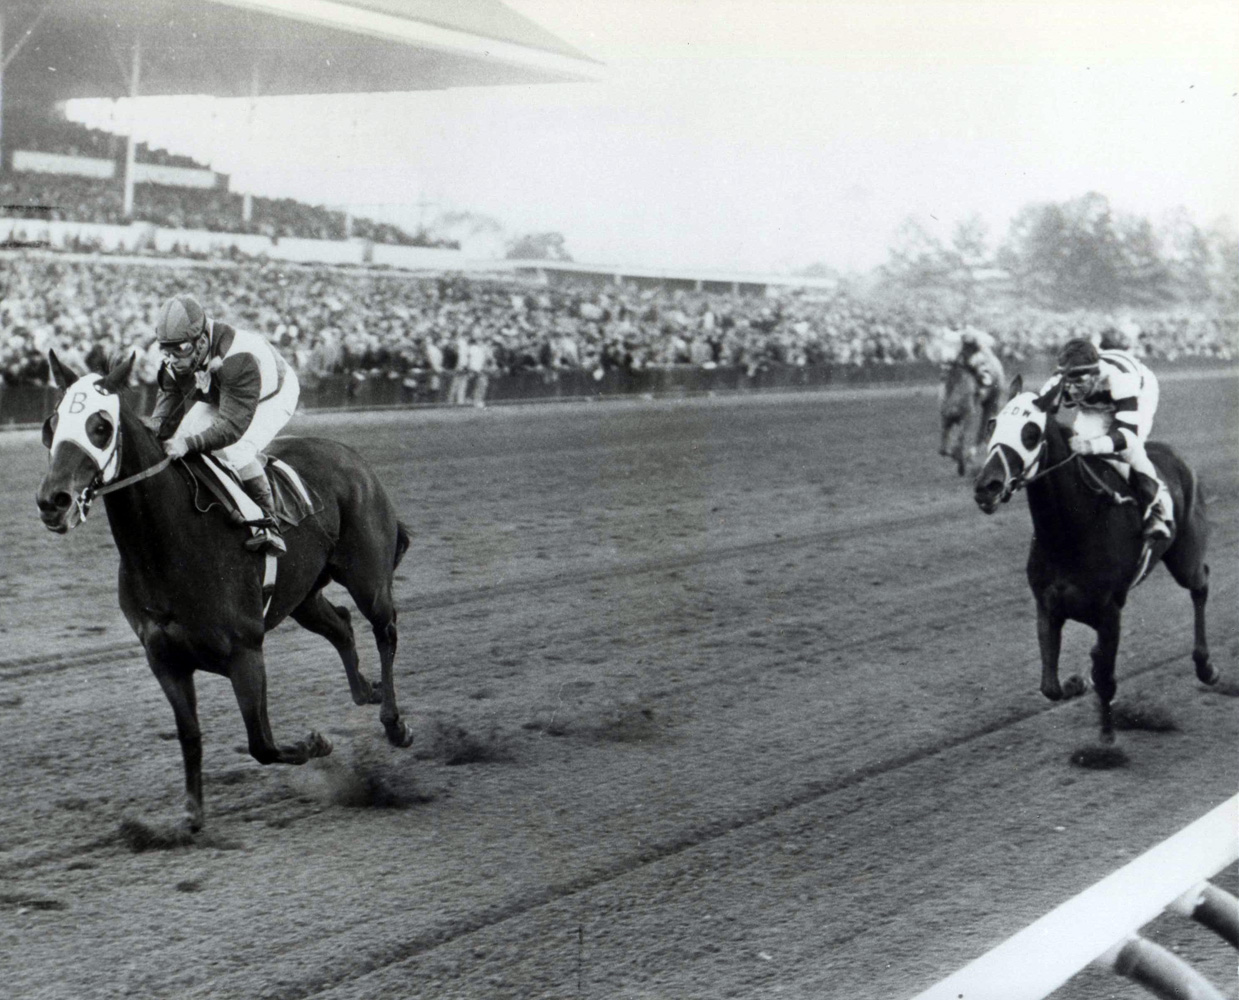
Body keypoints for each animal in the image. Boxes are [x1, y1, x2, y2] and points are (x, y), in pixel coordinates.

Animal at [33, 351, 416, 827]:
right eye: (51, 424)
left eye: (100, 426)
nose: (53, 501)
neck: (168, 548)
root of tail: (350, 457)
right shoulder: (165, 660)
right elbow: (190, 735)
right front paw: (192, 816)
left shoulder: (245, 652)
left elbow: (262, 743)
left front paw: (316, 744)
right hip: (302, 595)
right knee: (342, 625)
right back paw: (367, 690)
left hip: (368, 578)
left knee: (386, 631)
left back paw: (394, 723)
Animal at [971, 376, 1214, 743]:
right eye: (992, 424)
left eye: (1031, 432)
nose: (987, 486)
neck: (1068, 533)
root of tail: (1174, 454)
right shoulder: (1048, 606)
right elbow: (1050, 687)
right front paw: (1076, 682)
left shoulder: (1109, 613)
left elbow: (1107, 678)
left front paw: (1107, 737)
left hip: (1184, 554)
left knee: (1201, 585)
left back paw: (1205, 666)